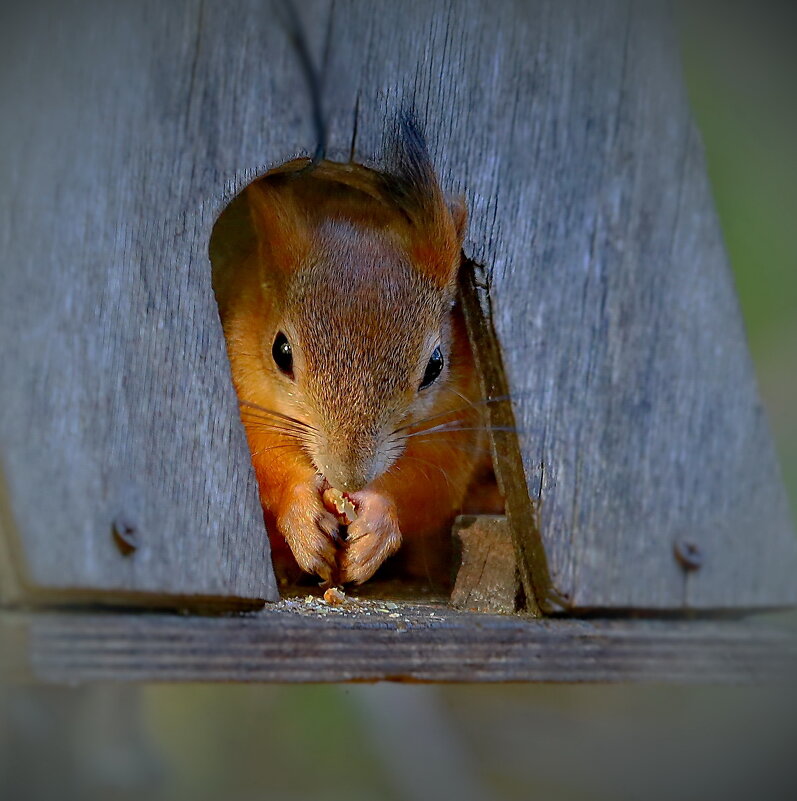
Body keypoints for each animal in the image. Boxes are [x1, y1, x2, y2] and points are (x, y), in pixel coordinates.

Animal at [211, 117, 498, 588]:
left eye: (435, 365)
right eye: (281, 351)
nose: (348, 476)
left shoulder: (459, 415)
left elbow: (433, 480)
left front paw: (378, 517)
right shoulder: (244, 386)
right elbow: (262, 454)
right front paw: (302, 513)